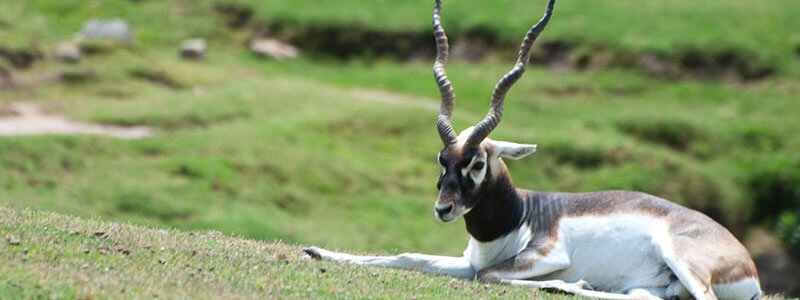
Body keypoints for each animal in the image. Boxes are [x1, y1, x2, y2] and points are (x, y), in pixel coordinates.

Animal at [302, 0, 764, 300]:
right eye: (441, 160)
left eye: (477, 163)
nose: (443, 209)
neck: (520, 216)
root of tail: (747, 262)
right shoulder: (467, 260)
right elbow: (406, 256)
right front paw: (316, 250)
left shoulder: (542, 254)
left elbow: (489, 275)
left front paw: (569, 281)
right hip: (655, 284)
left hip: (681, 260)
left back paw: (574, 284)